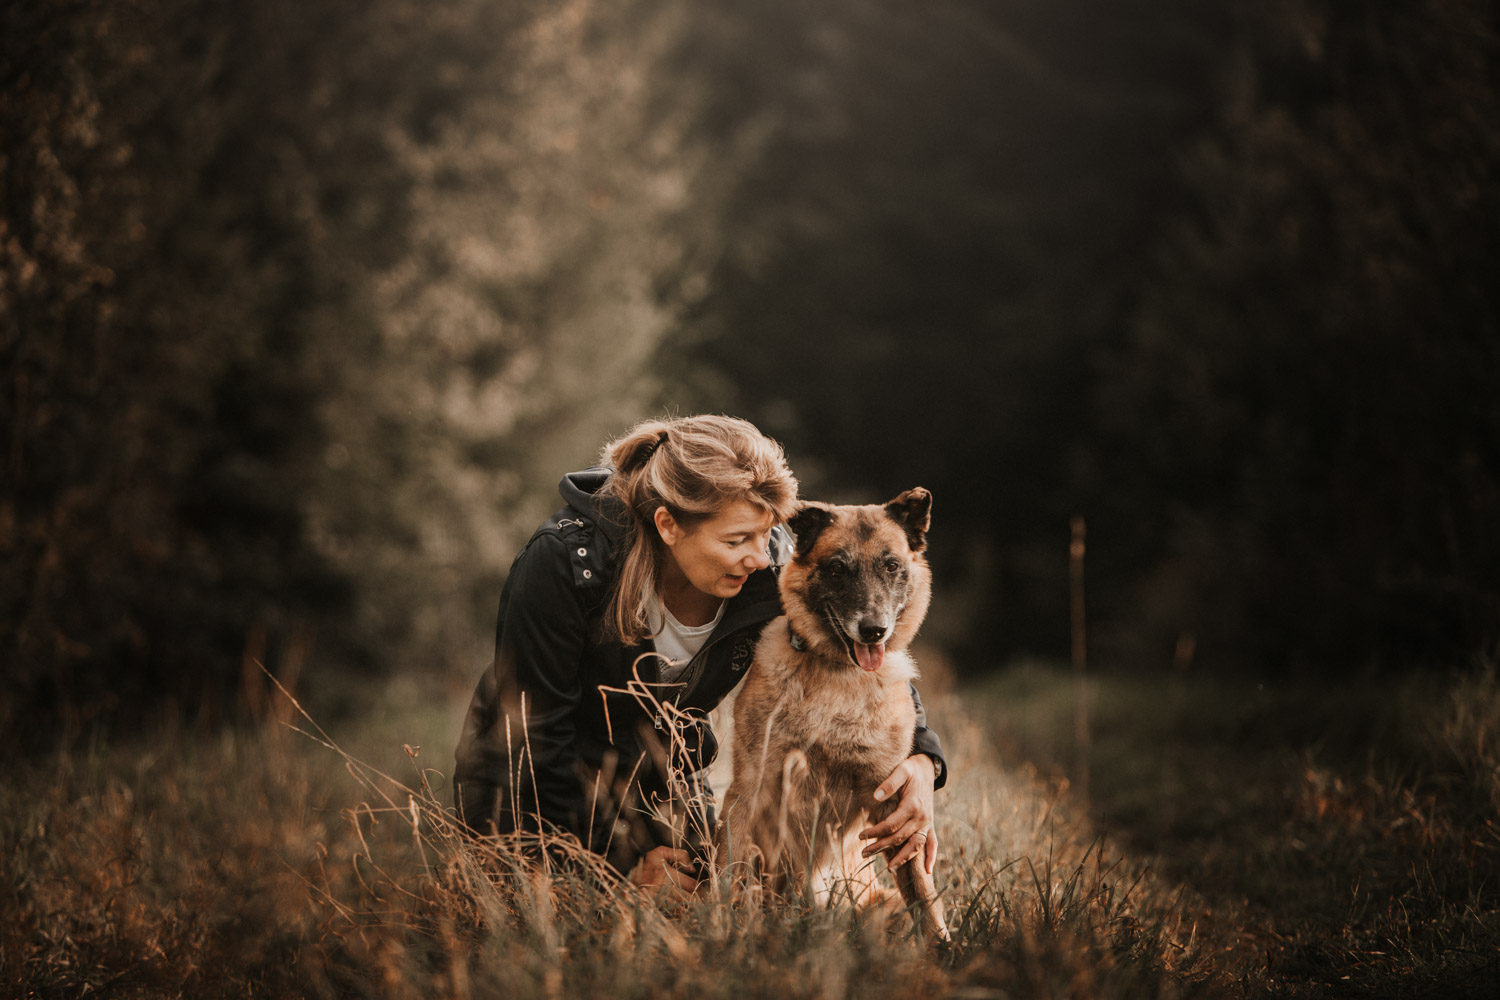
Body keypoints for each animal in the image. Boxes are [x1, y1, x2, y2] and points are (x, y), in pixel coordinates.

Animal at [717, 488, 948, 941]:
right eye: (838, 568)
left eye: (891, 566)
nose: (874, 631)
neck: (839, 674)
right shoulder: (752, 790)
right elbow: (729, 875)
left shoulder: (891, 803)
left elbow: (924, 896)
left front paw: (945, 950)